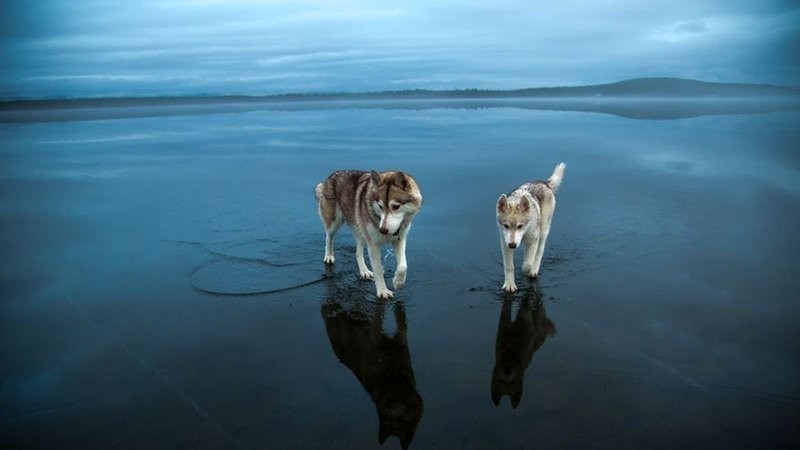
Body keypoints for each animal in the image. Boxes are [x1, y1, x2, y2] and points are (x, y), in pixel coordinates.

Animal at [314, 169, 422, 298]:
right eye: (380, 206)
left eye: (396, 206)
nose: (382, 230)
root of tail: (332, 175)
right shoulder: (373, 245)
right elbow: (378, 269)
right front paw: (382, 291)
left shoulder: (399, 239)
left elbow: (403, 266)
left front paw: (398, 282)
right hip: (334, 223)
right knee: (328, 238)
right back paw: (329, 256)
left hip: (361, 232)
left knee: (357, 252)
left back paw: (364, 271)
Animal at [496, 162, 564, 292]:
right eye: (506, 226)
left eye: (520, 226)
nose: (513, 245)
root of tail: (544, 183)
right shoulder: (504, 244)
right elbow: (509, 266)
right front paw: (509, 284)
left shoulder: (533, 240)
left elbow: (527, 264)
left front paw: (528, 270)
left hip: (543, 231)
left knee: (539, 251)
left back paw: (534, 269)